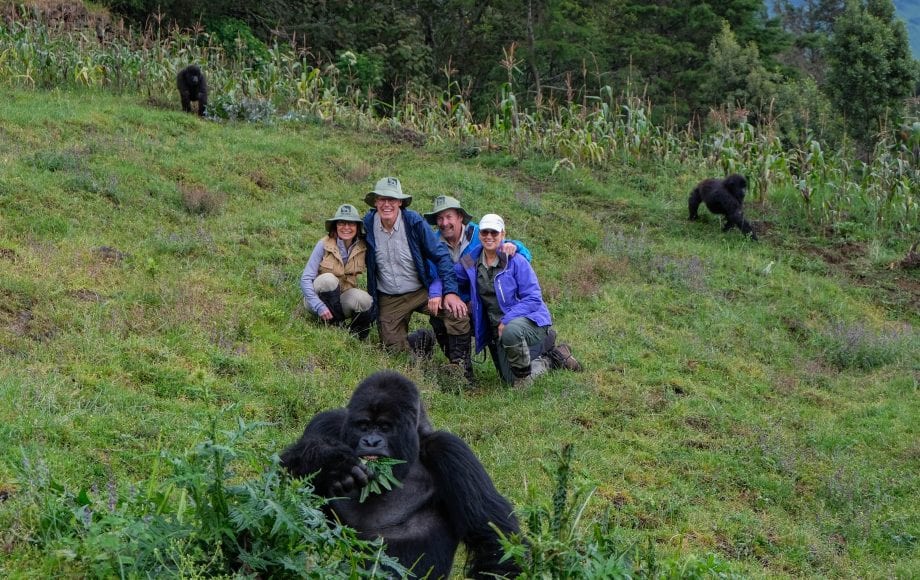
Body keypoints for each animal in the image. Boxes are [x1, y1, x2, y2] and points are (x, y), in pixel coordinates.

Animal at [280, 372, 520, 580]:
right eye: (364, 425)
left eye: (385, 427)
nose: (371, 442)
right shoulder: (326, 423)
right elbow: (283, 487)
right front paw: (329, 463)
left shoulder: (451, 452)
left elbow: (493, 540)